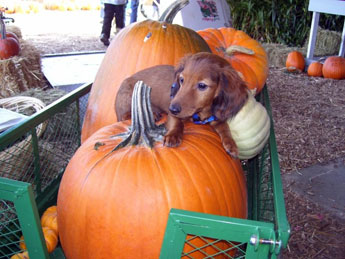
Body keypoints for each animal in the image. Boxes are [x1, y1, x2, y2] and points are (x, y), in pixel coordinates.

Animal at [115, 52, 247, 157]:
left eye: (202, 85)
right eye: (182, 80)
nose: (172, 108)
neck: (201, 112)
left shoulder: (216, 117)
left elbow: (225, 128)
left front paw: (231, 144)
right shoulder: (172, 115)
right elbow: (177, 123)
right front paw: (173, 135)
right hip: (130, 96)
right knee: (125, 115)